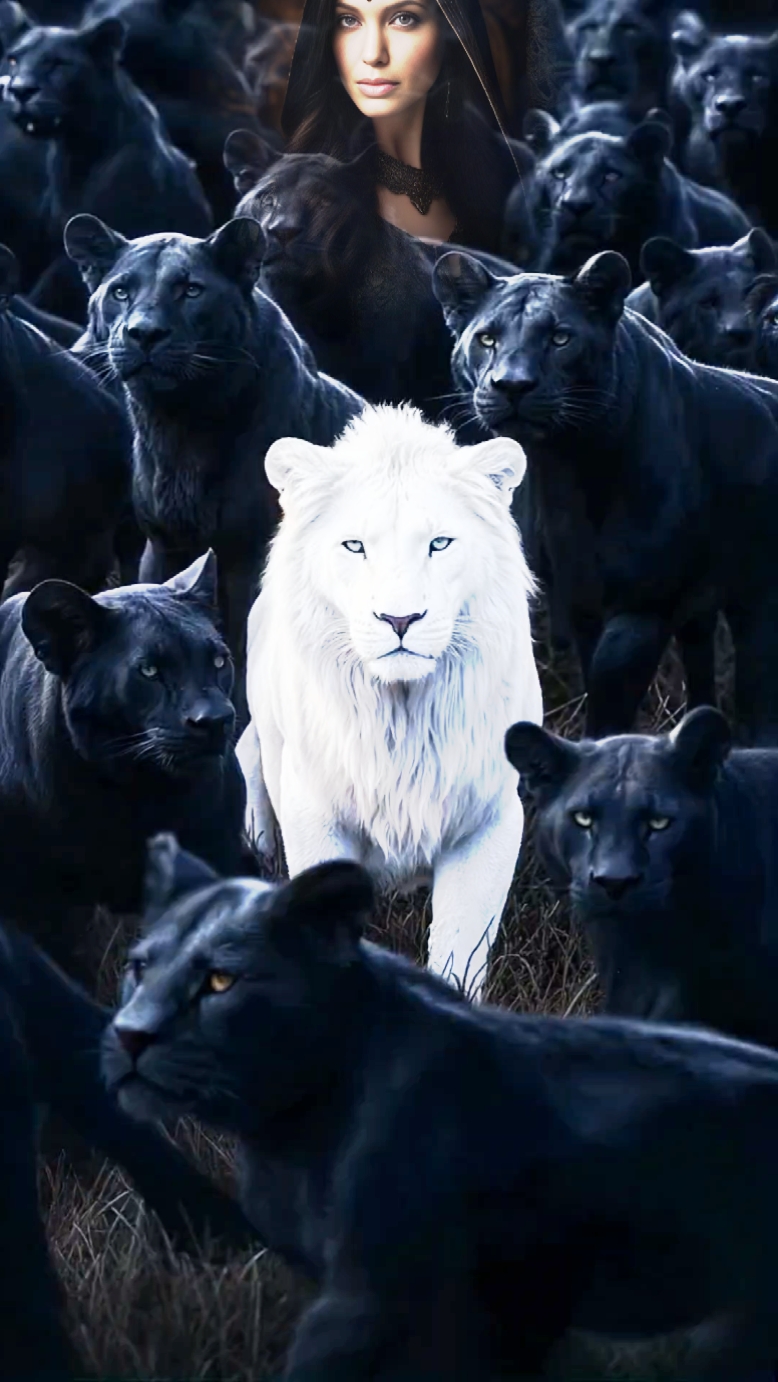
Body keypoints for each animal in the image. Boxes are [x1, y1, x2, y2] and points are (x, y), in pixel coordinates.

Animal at [236, 404, 543, 998]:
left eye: (440, 544)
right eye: (354, 546)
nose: (400, 620)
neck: (402, 717)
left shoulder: (488, 820)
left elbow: (460, 956)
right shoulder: (315, 817)